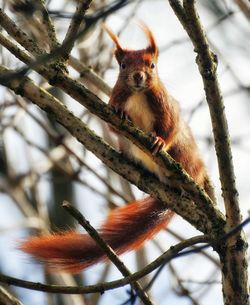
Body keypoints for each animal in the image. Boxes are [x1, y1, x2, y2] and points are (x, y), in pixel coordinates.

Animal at [20, 23, 215, 270]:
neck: (139, 93)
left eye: (152, 65)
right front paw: (120, 114)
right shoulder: (114, 99)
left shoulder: (167, 107)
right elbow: (113, 126)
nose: (138, 76)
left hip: (185, 156)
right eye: (123, 65)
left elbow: (170, 128)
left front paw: (159, 141)